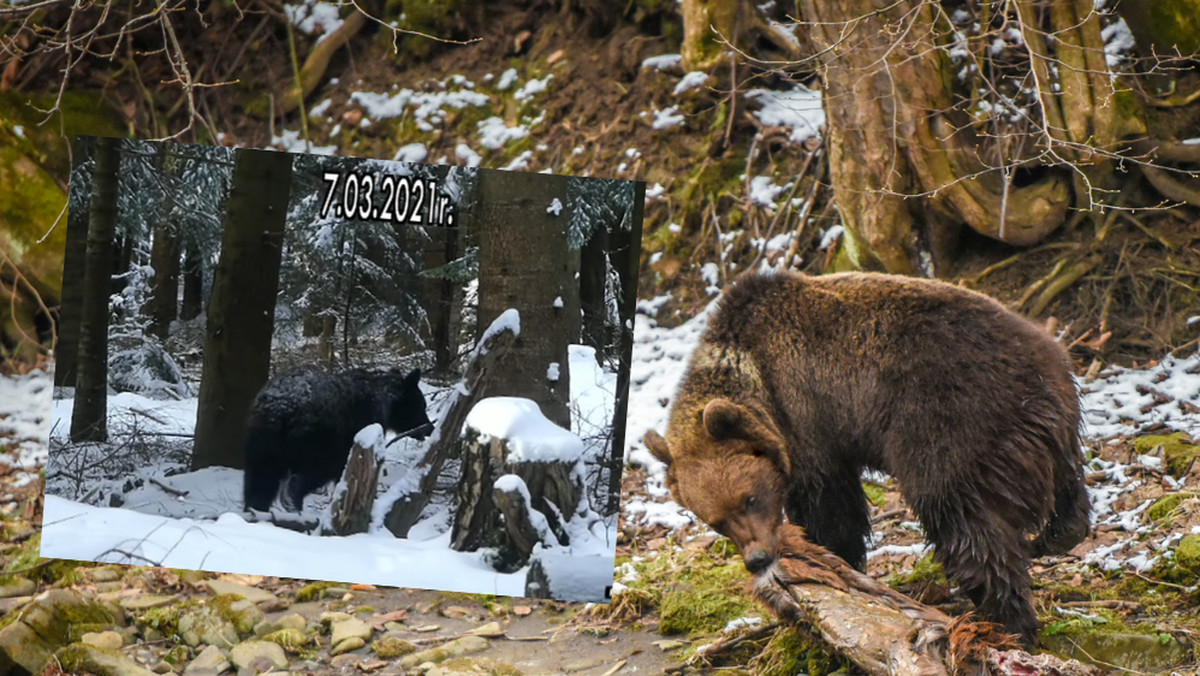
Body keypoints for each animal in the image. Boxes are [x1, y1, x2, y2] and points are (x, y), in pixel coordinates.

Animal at [241, 369, 434, 513]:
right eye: (421, 405)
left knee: (259, 483)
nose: (430, 428)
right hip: (317, 443)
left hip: (262, 443)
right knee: (303, 479)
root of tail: (281, 408)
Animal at [643, 268, 1094, 643]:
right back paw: (1054, 537)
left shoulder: (807, 417)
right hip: (1057, 430)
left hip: (954, 419)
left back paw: (1006, 618)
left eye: (750, 498)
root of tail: (1045, 370)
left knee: (961, 514)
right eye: (716, 522)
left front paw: (832, 557)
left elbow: (830, 504)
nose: (757, 559)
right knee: (1069, 488)